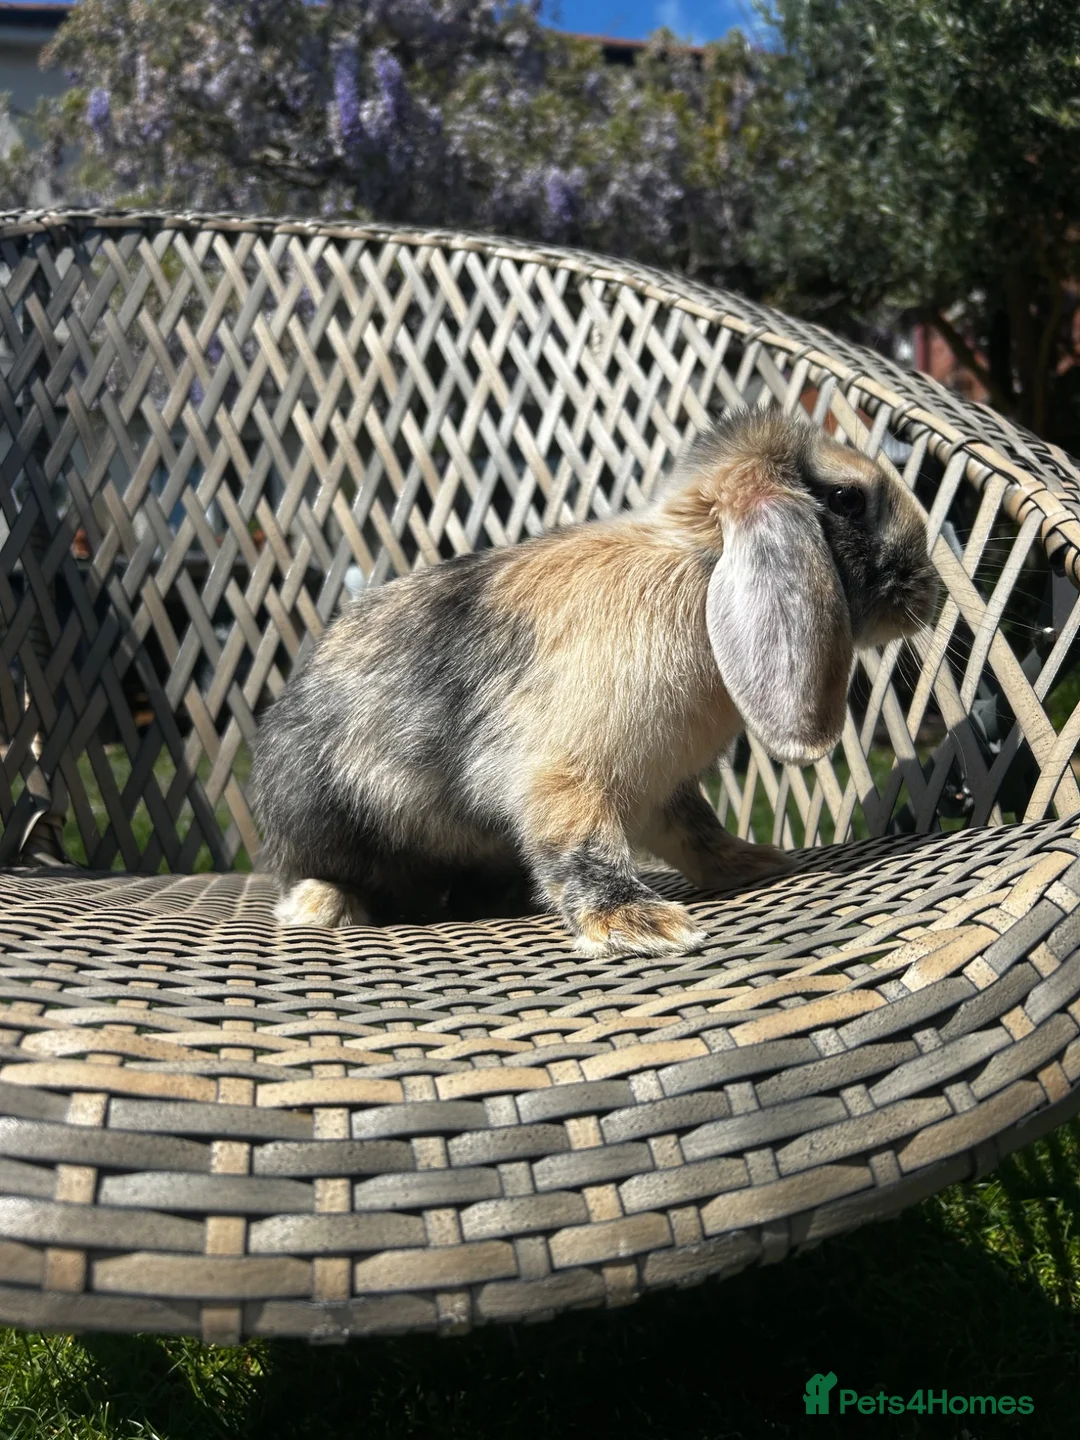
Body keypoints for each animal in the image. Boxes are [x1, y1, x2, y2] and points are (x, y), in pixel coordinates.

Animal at [250, 408, 939, 958]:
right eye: (848, 498)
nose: (930, 591)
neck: (698, 573)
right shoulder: (565, 776)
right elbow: (583, 846)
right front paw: (644, 927)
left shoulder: (666, 786)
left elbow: (695, 832)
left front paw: (755, 862)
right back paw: (324, 905)